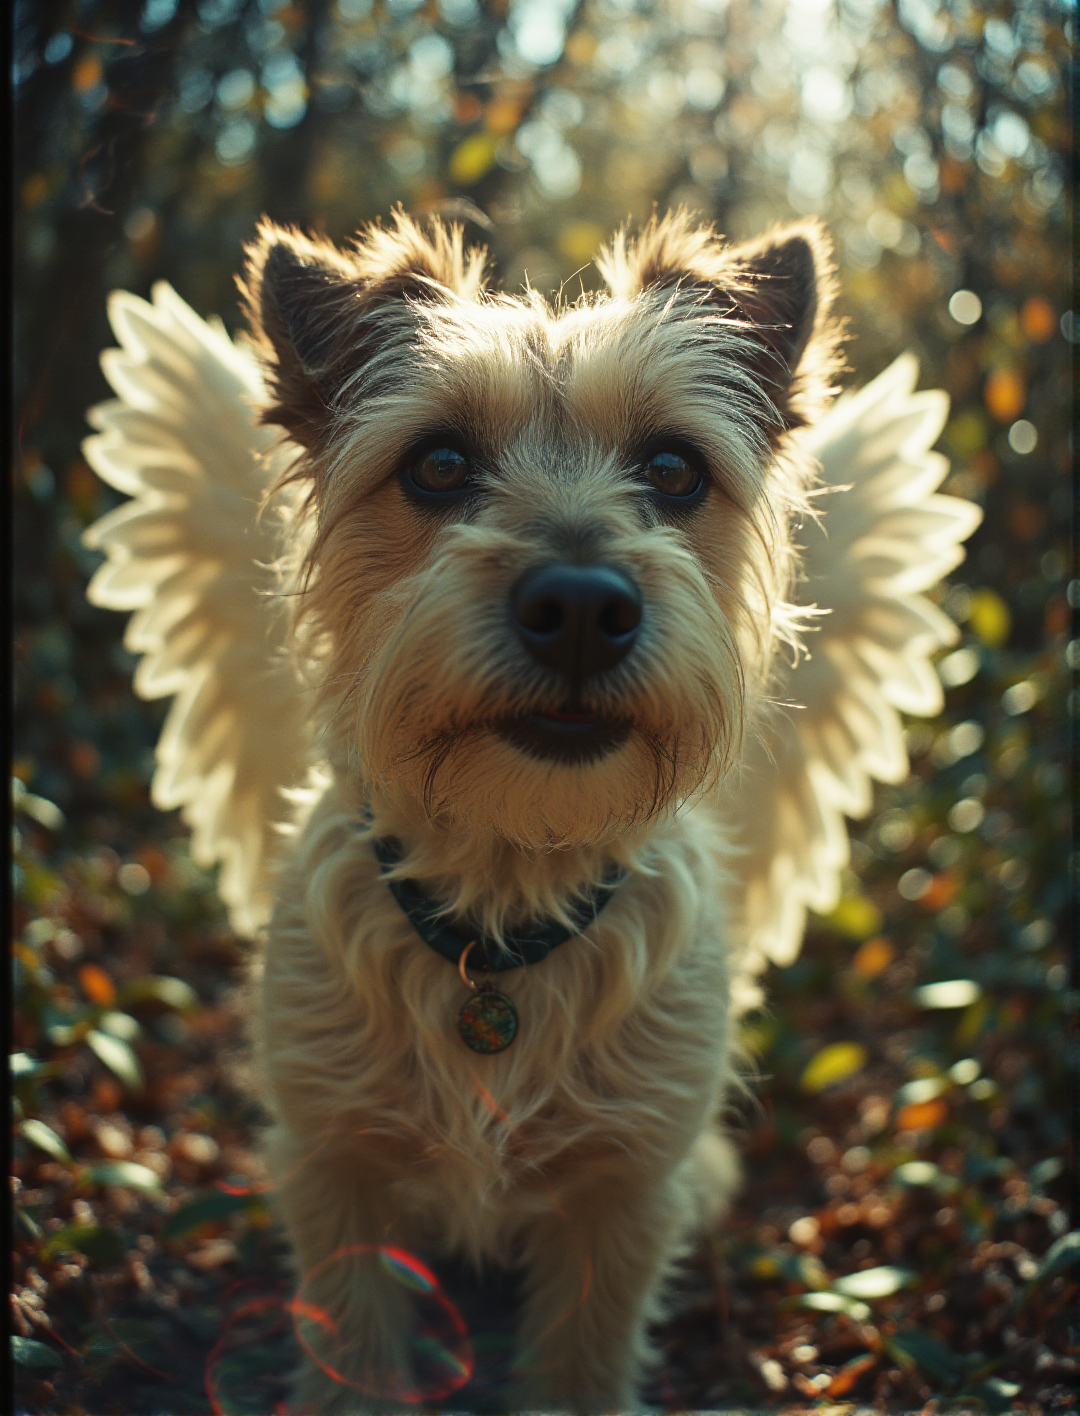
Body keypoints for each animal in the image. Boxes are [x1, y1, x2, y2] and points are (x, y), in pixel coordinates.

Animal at [82, 212, 979, 1416]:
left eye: (673, 469)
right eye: (439, 464)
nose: (583, 607)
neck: (505, 901)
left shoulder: (620, 1204)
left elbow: (582, 1365)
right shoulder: (337, 1174)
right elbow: (357, 1353)